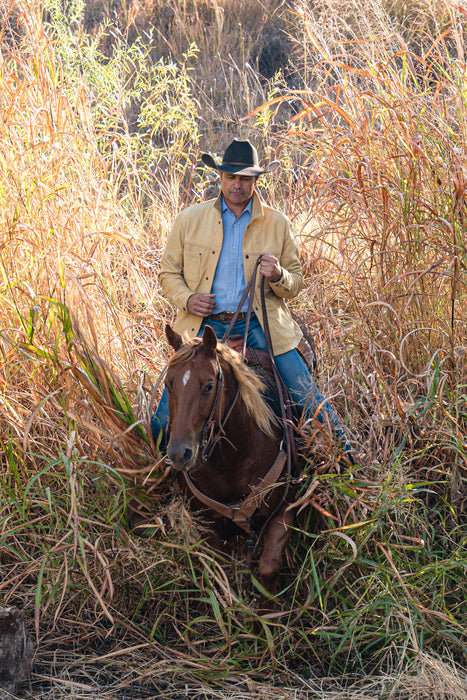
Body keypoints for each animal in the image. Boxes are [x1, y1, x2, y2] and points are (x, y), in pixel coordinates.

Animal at [165, 322, 296, 608]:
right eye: (168, 384)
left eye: (208, 386)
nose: (180, 454)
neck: (231, 464)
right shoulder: (205, 524)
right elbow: (222, 572)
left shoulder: (286, 509)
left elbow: (268, 566)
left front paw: (266, 617)